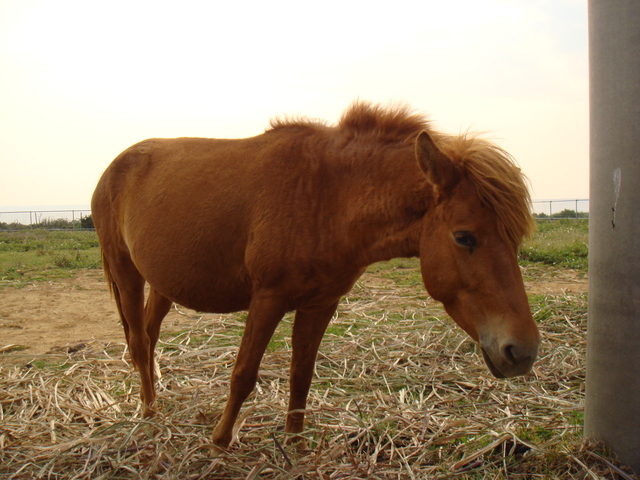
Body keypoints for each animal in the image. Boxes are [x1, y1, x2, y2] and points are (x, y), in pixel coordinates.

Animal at [91, 101, 540, 449]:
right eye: (465, 237)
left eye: (515, 237)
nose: (522, 351)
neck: (327, 196)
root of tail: (115, 167)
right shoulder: (267, 298)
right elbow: (243, 374)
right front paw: (221, 441)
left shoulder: (321, 304)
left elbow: (302, 375)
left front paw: (295, 443)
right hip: (126, 272)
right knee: (138, 342)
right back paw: (149, 415)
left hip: (163, 284)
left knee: (149, 337)